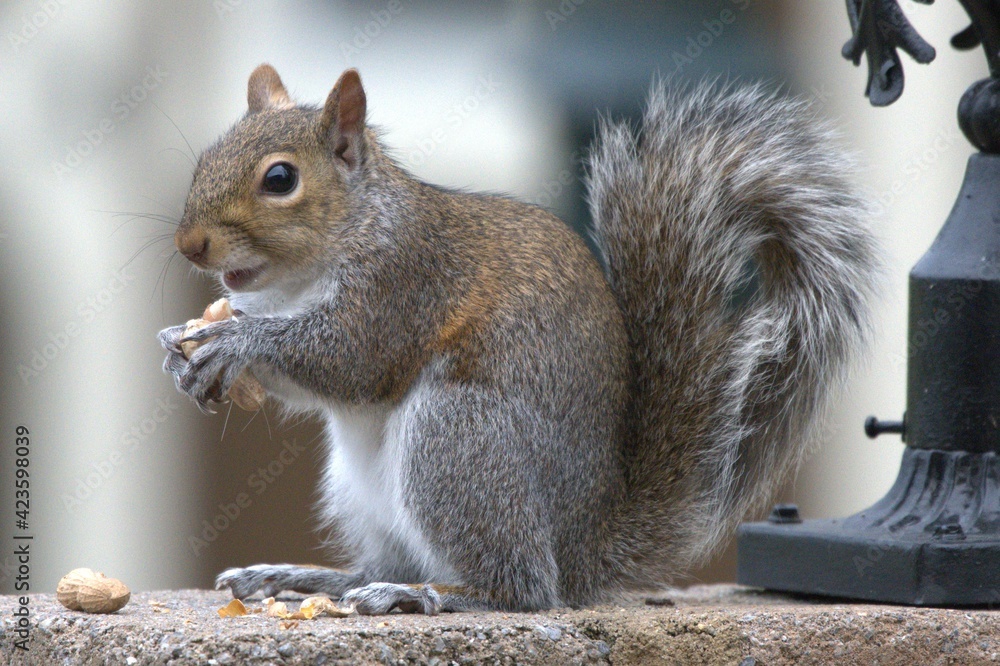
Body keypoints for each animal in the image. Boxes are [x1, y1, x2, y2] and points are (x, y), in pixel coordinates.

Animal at [158, 64, 880, 614]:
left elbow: (350, 361)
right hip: (361, 490)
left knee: (524, 589)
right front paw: (179, 346)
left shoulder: (404, 283)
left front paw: (234, 343)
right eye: (205, 158)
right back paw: (306, 577)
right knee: (388, 560)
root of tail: (586, 548)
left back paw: (425, 594)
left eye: (280, 179)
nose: (189, 244)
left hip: (459, 442)